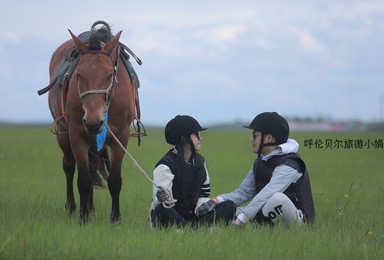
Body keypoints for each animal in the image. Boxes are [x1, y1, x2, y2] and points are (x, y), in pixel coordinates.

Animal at [45, 21, 138, 223]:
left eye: (110, 75)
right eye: (79, 75)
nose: (93, 122)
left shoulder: (121, 136)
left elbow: (114, 180)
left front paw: (115, 219)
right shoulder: (77, 135)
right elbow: (83, 180)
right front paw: (83, 218)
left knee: (93, 166)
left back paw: (91, 207)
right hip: (64, 135)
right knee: (69, 166)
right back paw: (73, 207)